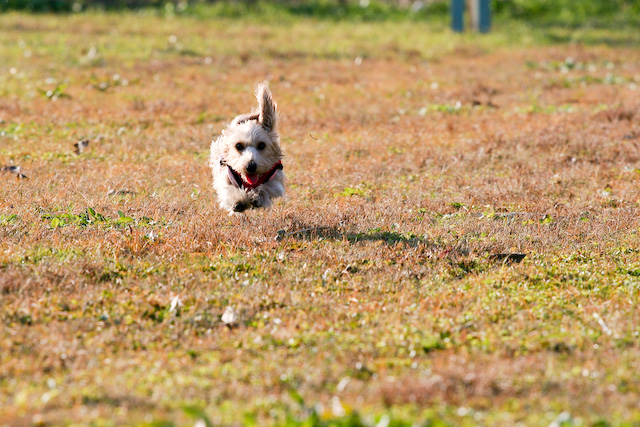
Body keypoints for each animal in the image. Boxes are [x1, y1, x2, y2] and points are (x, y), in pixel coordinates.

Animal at [210, 84, 285, 213]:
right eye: (238, 146)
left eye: (262, 145)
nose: (251, 166)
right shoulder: (226, 176)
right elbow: (228, 189)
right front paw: (238, 201)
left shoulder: (275, 178)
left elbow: (268, 187)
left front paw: (257, 196)